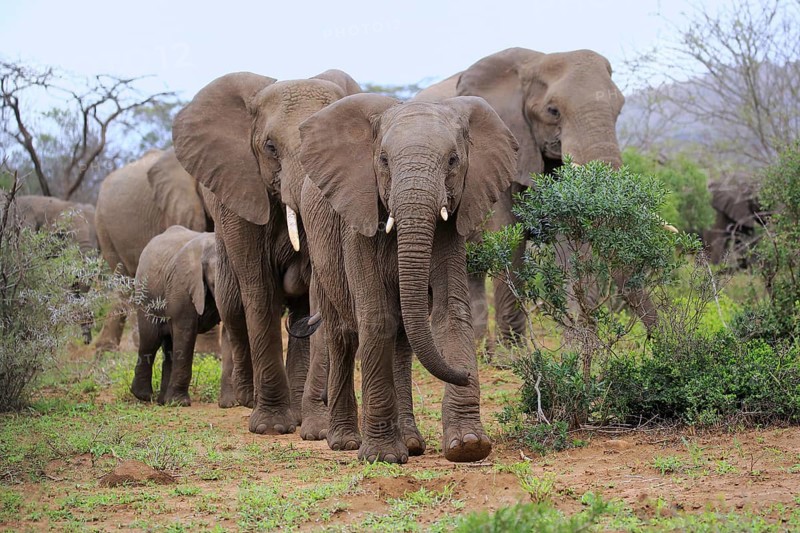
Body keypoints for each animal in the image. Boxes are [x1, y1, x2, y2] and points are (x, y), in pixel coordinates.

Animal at [131, 226, 234, 407]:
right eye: (214, 283)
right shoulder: (182, 284)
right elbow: (186, 332)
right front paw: (180, 403)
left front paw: (230, 404)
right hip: (145, 295)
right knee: (150, 340)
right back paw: (144, 396)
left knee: (169, 345)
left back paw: (163, 401)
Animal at [172, 69, 361, 435]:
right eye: (270, 147)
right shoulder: (243, 193)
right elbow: (259, 289)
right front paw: (271, 427)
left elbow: (317, 291)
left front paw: (315, 430)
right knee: (233, 305)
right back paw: (243, 398)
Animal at [298, 93, 519, 463]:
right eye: (383, 160)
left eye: (453, 160)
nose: (467, 374)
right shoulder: (357, 220)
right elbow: (377, 318)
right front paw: (382, 457)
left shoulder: (451, 226)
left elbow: (450, 312)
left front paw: (469, 446)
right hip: (320, 249)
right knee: (342, 335)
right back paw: (344, 442)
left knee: (402, 341)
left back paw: (412, 444)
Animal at [415, 48, 655, 344]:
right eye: (553, 111)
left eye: (619, 109)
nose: (656, 341)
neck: (534, 62)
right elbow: (508, 233)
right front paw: (513, 351)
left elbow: (571, 235)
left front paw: (576, 344)